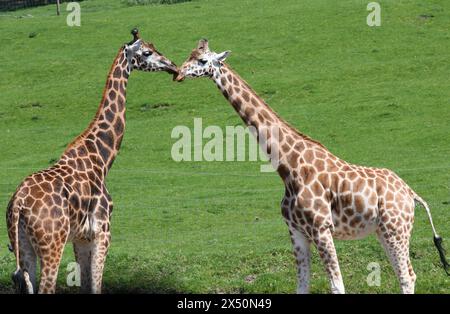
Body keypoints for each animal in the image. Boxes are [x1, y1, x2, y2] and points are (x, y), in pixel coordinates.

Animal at [5, 29, 178, 294]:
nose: (172, 66)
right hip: (52, 244)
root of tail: (18, 205)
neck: (102, 158)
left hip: (23, 247)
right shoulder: (103, 233)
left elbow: (86, 285)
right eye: (147, 52)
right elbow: (96, 287)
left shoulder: (81, 238)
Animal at [175, 39, 446, 294]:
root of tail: (411, 194)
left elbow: (337, 286)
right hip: (384, 231)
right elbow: (302, 285)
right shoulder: (296, 231)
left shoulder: (321, 229)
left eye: (202, 60)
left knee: (406, 276)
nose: (178, 73)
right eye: (189, 54)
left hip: (395, 229)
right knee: (407, 273)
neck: (288, 167)